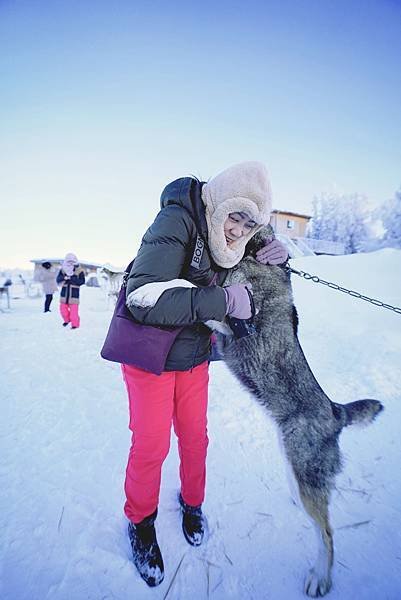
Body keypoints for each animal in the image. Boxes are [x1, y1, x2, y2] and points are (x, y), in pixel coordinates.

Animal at [126, 229, 382, 596]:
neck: (252, 252)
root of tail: (336, 412)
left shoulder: (233, 317)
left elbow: (186, 285)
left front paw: (145, 290)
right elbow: (195, 288)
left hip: (305, 469)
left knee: (328, 535)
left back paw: (320, 577)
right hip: (294, 461)